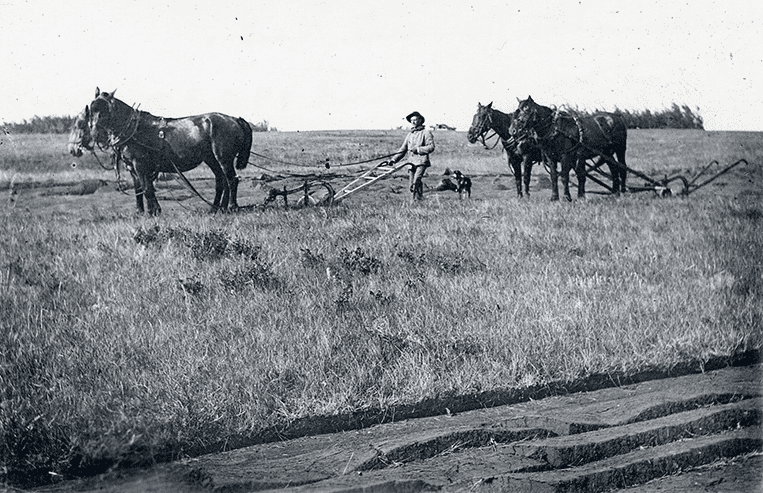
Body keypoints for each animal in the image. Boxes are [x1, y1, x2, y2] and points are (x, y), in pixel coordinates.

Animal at [86, 88, 253, 215]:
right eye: (91, 108)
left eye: (106, 109)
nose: (94, 134)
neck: (134, 130)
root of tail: (234, 119)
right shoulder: (131, 167)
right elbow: (139, 189)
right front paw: (141, 212)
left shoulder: (140, 165)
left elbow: (147, 188)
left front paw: (153, 211)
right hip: (211, 159)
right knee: (221, 181)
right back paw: (217, 208)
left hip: (224, 159)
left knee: (232, 180)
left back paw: (231, 207)